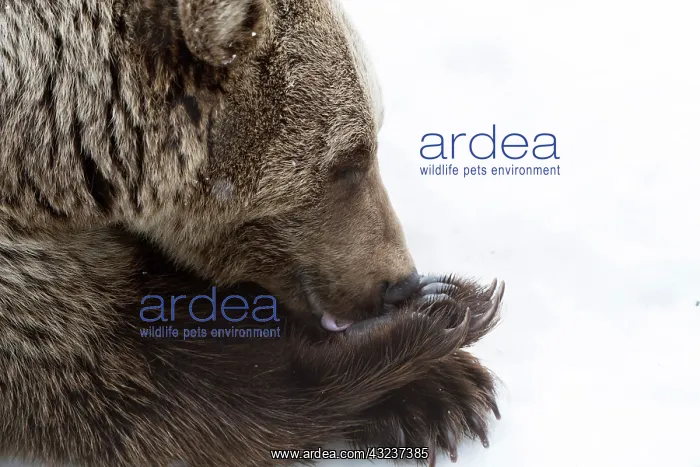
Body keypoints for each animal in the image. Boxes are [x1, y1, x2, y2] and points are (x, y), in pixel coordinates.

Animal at [0, 0, 504, 466]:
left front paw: (440, 386)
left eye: (370, 144)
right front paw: (444, 317)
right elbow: (140, 378)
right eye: (349, 160)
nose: (400, 282)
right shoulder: (24, 271)